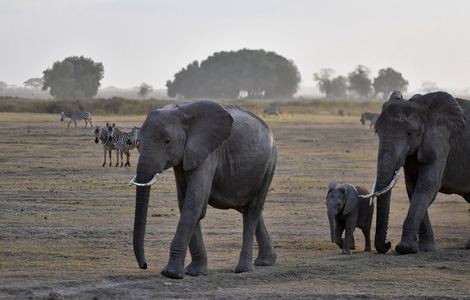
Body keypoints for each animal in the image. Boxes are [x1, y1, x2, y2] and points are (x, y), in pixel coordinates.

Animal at [129, 100, 278, 278]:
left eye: (167, 141)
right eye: (138, 142)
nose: (144, 265)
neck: (182, 113)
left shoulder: (208, 153)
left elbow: (194, 203)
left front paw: (170, 273)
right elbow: (185, 203)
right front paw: (194, 272)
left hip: (269, 164)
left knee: (252, 210)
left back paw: (243, 269)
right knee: (248, 209)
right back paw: (266, 262)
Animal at [370, 91, 470, 253]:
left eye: (409, 134)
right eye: (377, 131)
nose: (387, 244)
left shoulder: (441, 141)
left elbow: (426, 186)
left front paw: (405, 248)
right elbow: (412, 188)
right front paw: (424, 248)